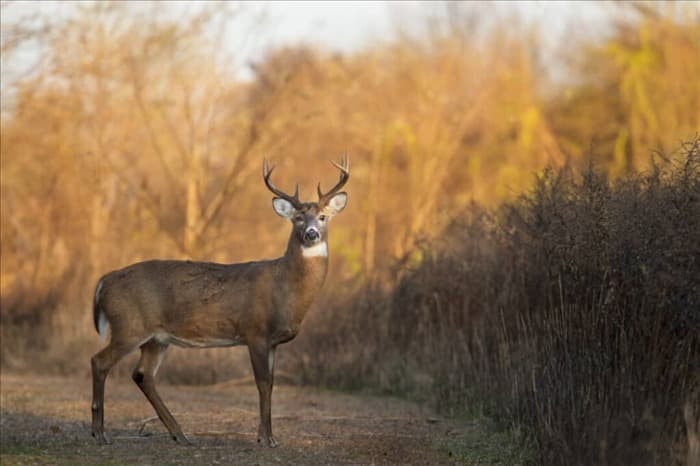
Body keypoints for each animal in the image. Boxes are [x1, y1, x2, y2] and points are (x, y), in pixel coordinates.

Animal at [90, 156, 348, 444]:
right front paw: (266, 438)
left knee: (143, 375)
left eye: (323, 217)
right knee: (99, 362)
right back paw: (99, 433)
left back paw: (180, 434)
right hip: (129, 326)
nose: (312, 233)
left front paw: (268, 437)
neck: (286, 288)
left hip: (156, 338)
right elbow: (263, 383)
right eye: (298, 219)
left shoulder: (272, 342)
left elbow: (271, 383)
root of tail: (104, 281)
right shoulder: (255, 332)